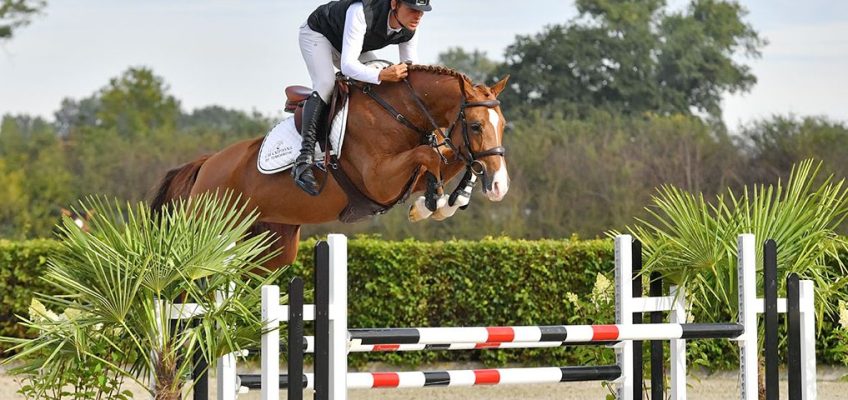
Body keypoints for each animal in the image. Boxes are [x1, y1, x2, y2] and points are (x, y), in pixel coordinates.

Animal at [150, 65, 510, 270]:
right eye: (475, 125)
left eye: (502, 125)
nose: (501, 186)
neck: (399, 112)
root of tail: (206, 165)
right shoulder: (380, 181)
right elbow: (430, 156)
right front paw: (431, 203)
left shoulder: (409, 176)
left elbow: (451, 158)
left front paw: (451, 200)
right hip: (210, 231)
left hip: (272, 244)